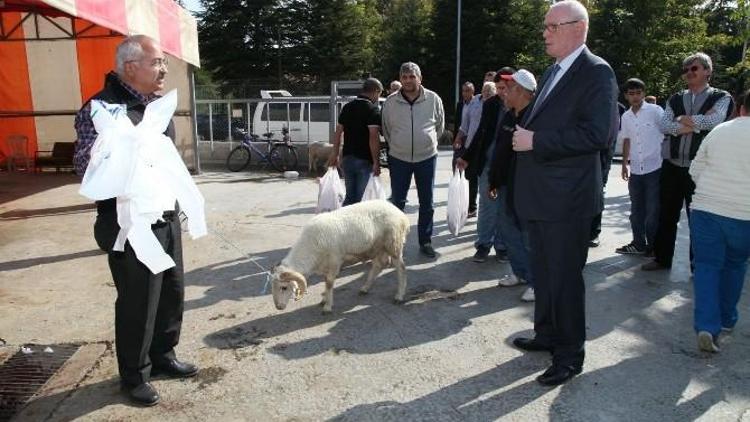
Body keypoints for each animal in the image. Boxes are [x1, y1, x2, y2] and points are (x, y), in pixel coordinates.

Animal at [272, 200, 412, 314]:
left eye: (284, 287)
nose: (278, 307)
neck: (310, 247)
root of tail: (399, 212)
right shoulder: (326, 264)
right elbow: (326, 283)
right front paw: (324, 300)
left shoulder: (334, 261)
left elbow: (329, 283)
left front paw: (327, 307)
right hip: (378, 247)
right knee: (379, 265)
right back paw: (365, 288)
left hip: (393, 244)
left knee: (401, 268)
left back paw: (399, 296)